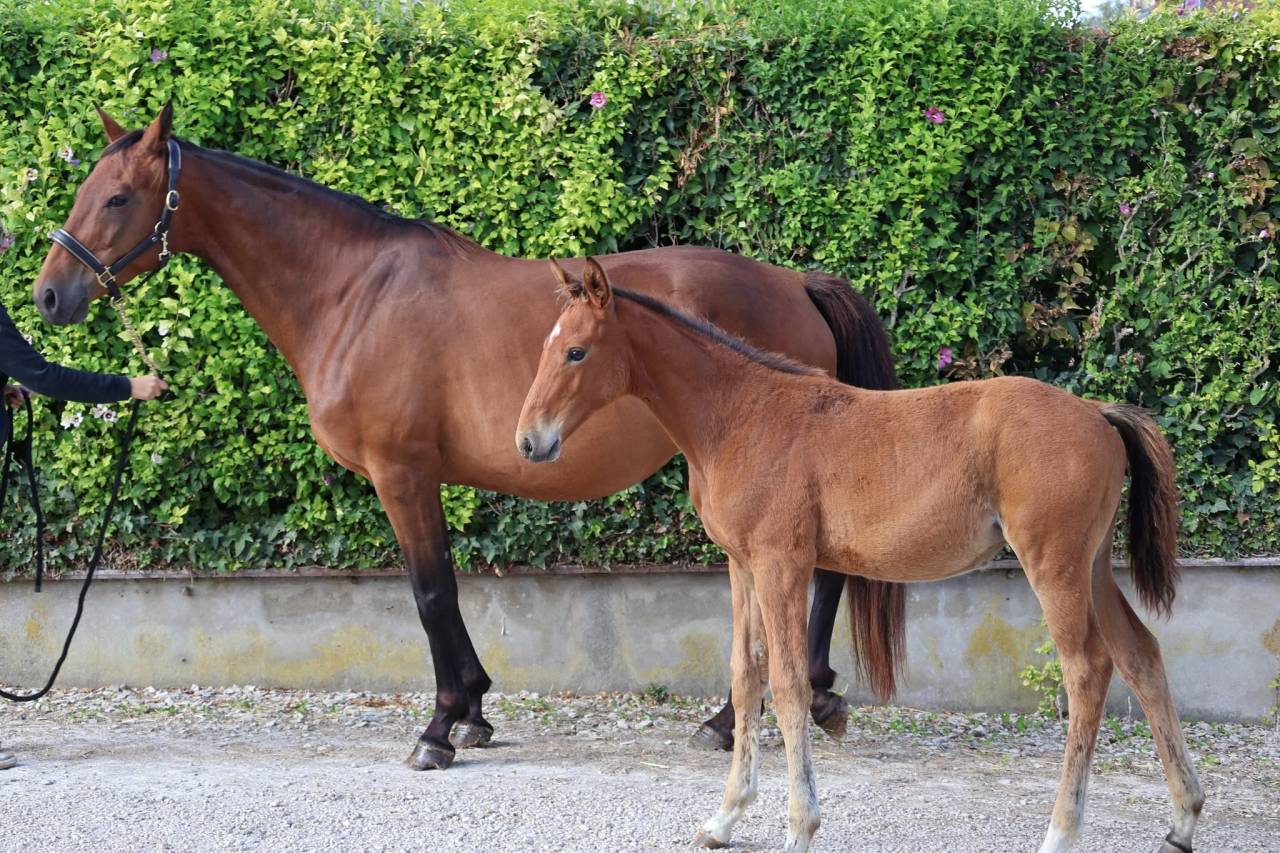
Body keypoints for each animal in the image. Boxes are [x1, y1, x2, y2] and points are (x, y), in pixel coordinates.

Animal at [32, 104, 906, 770]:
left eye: (117, 198)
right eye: (86, 189)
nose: (49, 295)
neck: (352, 292)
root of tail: (795, 283)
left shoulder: (401, 473)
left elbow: (430, 593)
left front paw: (439, 726)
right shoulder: (421, 478)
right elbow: (444, 591)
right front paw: (475, 713)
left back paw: (757, 711)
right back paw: (796, 700)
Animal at [516, 259, 1203, 853]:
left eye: (576, 351)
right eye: (546, 346)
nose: (528, 441)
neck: (740, 415)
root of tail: (1097, 413)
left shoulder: (783, 564)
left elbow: (788, 684)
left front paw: (800, 826)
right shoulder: (743, 566)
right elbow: (745, 677)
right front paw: (724, 818)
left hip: (1054, 565)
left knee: (1088, 670)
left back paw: (1061, 832)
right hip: (1093, 567)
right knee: (1142, 655)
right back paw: (1183, 819)